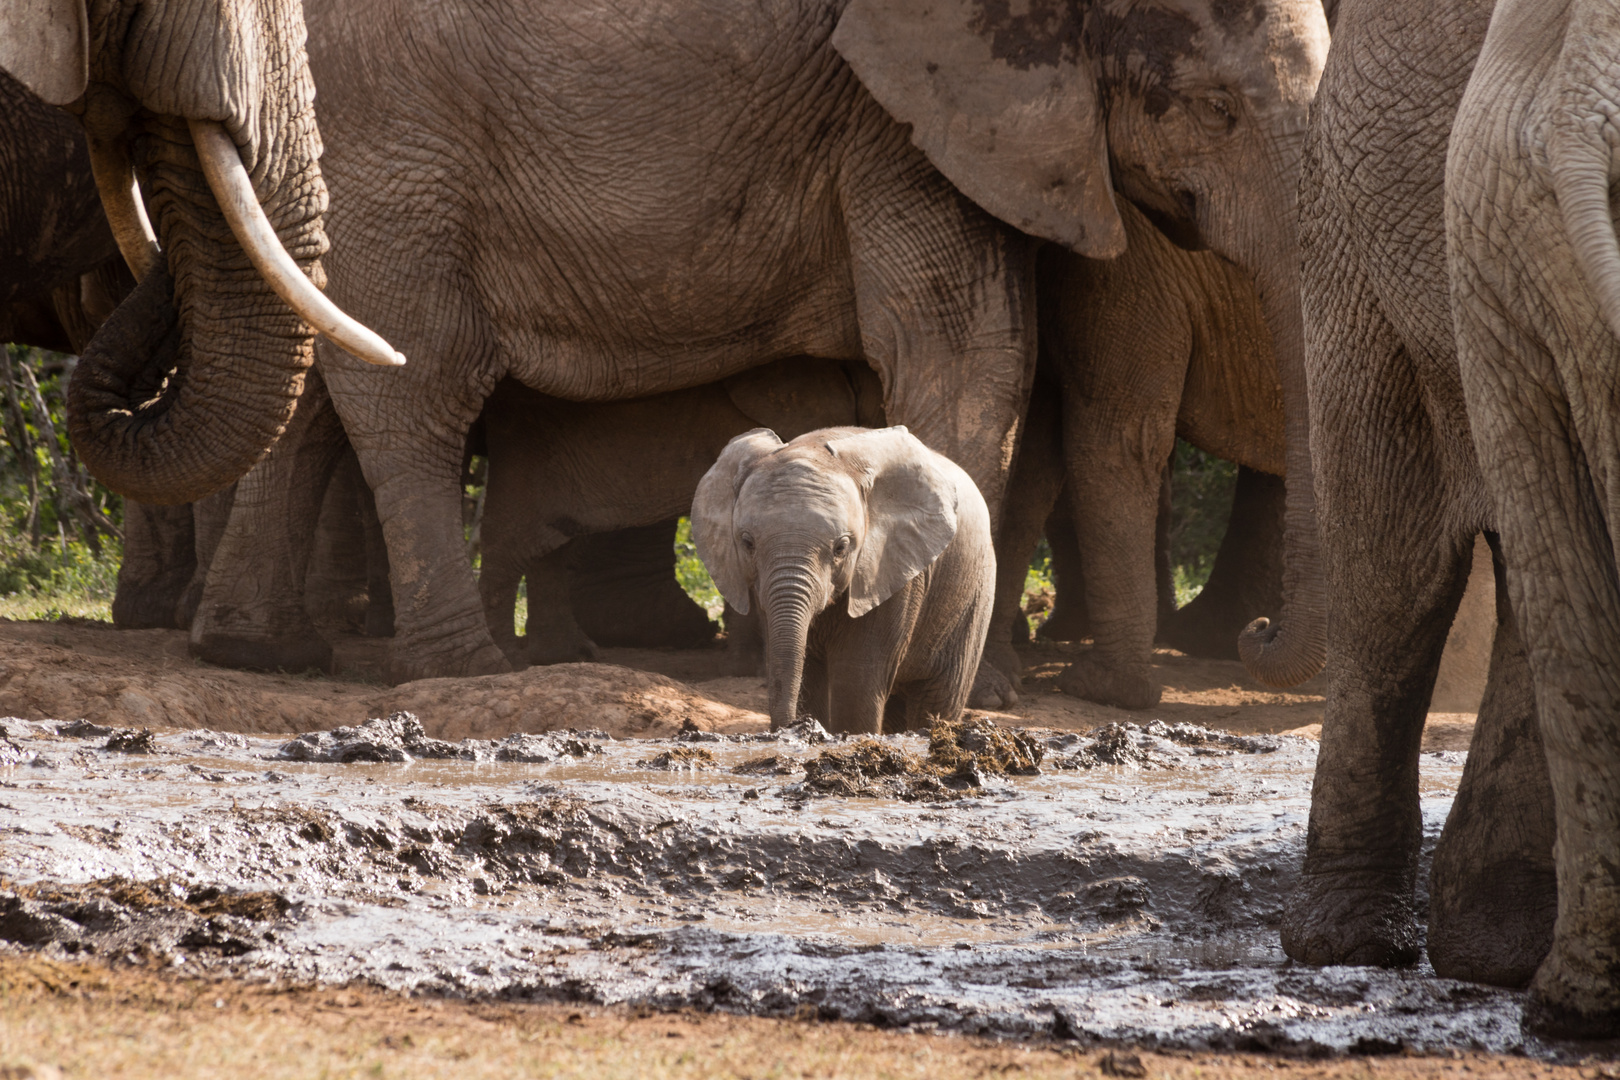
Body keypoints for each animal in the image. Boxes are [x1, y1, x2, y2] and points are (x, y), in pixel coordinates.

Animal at [186, 0, 1328, 683]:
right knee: (413, 384)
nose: (1266, 643)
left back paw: (260, 651)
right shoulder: (892, 109)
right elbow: (968, 350)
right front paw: (964, 679)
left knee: (319, 365)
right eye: (1215, 108)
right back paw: (468, 667)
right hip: (393, 140)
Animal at [693, 424, 991, 735]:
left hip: (973, 594)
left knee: (938, 697)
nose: (790, 726)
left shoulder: (893, 570)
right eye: (747, 543)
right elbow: (806, 667)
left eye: (841, 547)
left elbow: (856, 675)